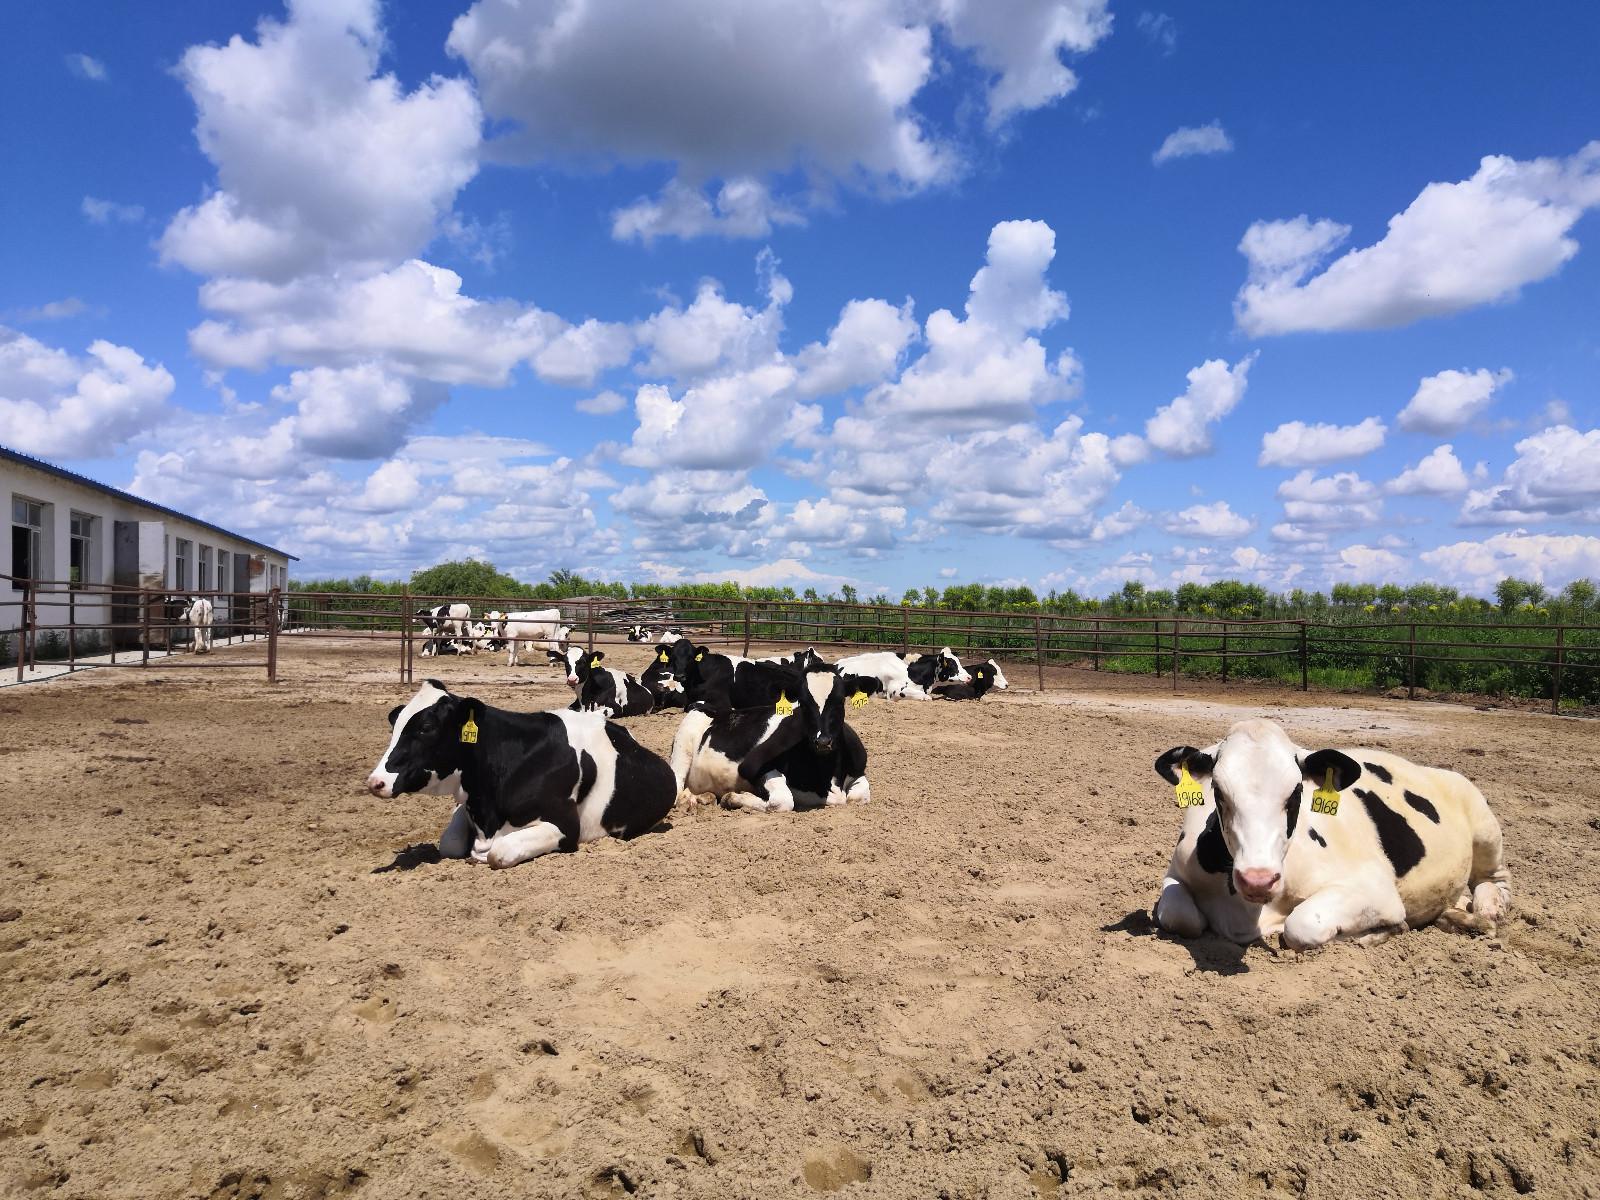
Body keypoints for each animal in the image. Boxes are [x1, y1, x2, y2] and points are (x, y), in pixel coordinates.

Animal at [366, 681, 672, 870]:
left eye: (426, 727)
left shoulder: (565, 826)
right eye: (395, 725)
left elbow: (499, 853)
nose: (375, 781)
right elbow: (449, 844)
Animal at [672, 662, 883, 812]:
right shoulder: (758, 769)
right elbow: (782, 801)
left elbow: (858, 797)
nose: (823, 742)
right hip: (683, 746)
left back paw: (702, 797)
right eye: (803, 703)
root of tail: (710, 707)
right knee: (676, 788)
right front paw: (733, 798)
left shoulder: (858, 771)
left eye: (840, 701)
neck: (828, 774)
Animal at [1152, 720, 1510, 953]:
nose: (1258, 879)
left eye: (1296, 792)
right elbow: (1179, 916)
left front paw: (1380, 932)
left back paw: (1487, 910)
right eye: (1218, 791)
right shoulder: (1175, 874)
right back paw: (1457, 915)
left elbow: (1301, 926)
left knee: (1495, 878)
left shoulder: (1374, 888)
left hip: (1484, 823)